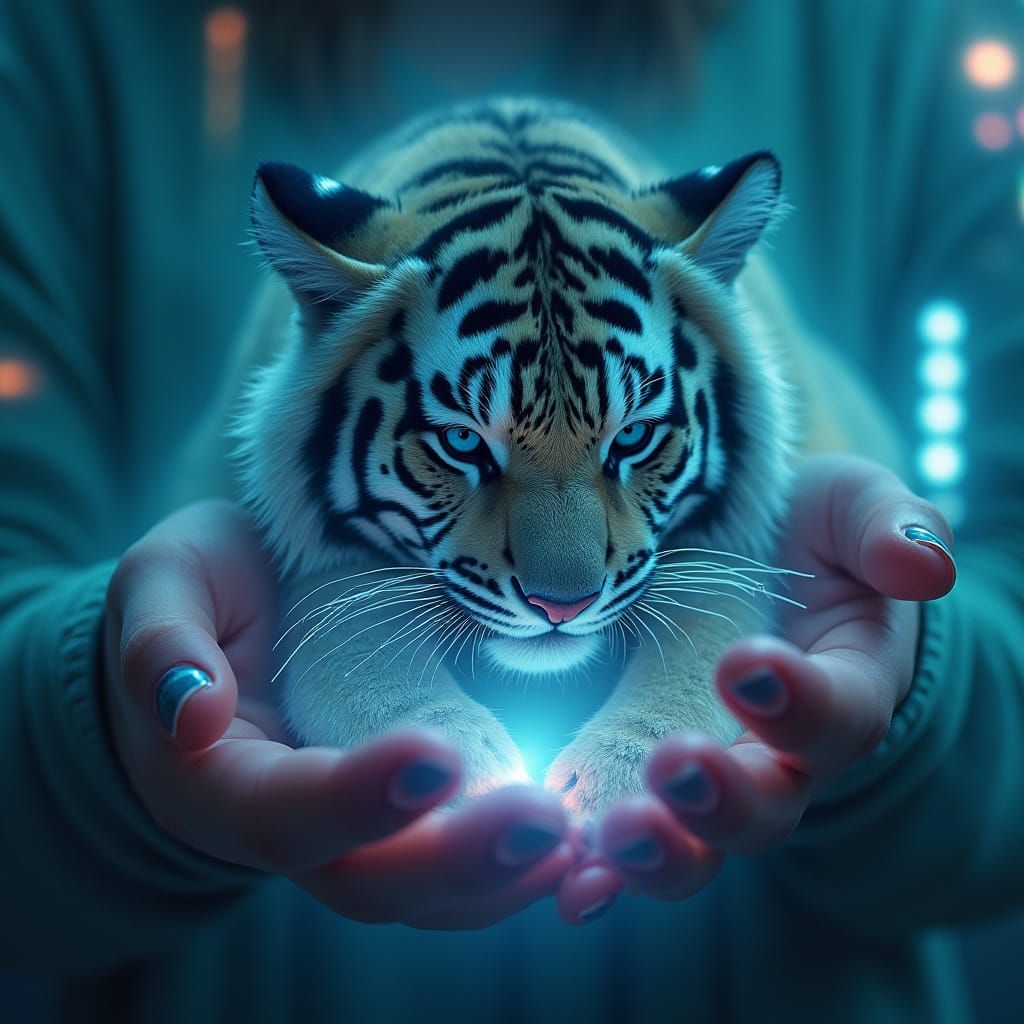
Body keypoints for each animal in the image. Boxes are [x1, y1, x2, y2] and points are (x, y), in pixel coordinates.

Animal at [229, 96, 892, 815]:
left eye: (631, 437)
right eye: (463, 441)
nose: (561, 608)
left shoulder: (725, 555)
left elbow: (713, 649)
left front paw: (614, 777)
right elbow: (349, 653)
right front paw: (463, 767)